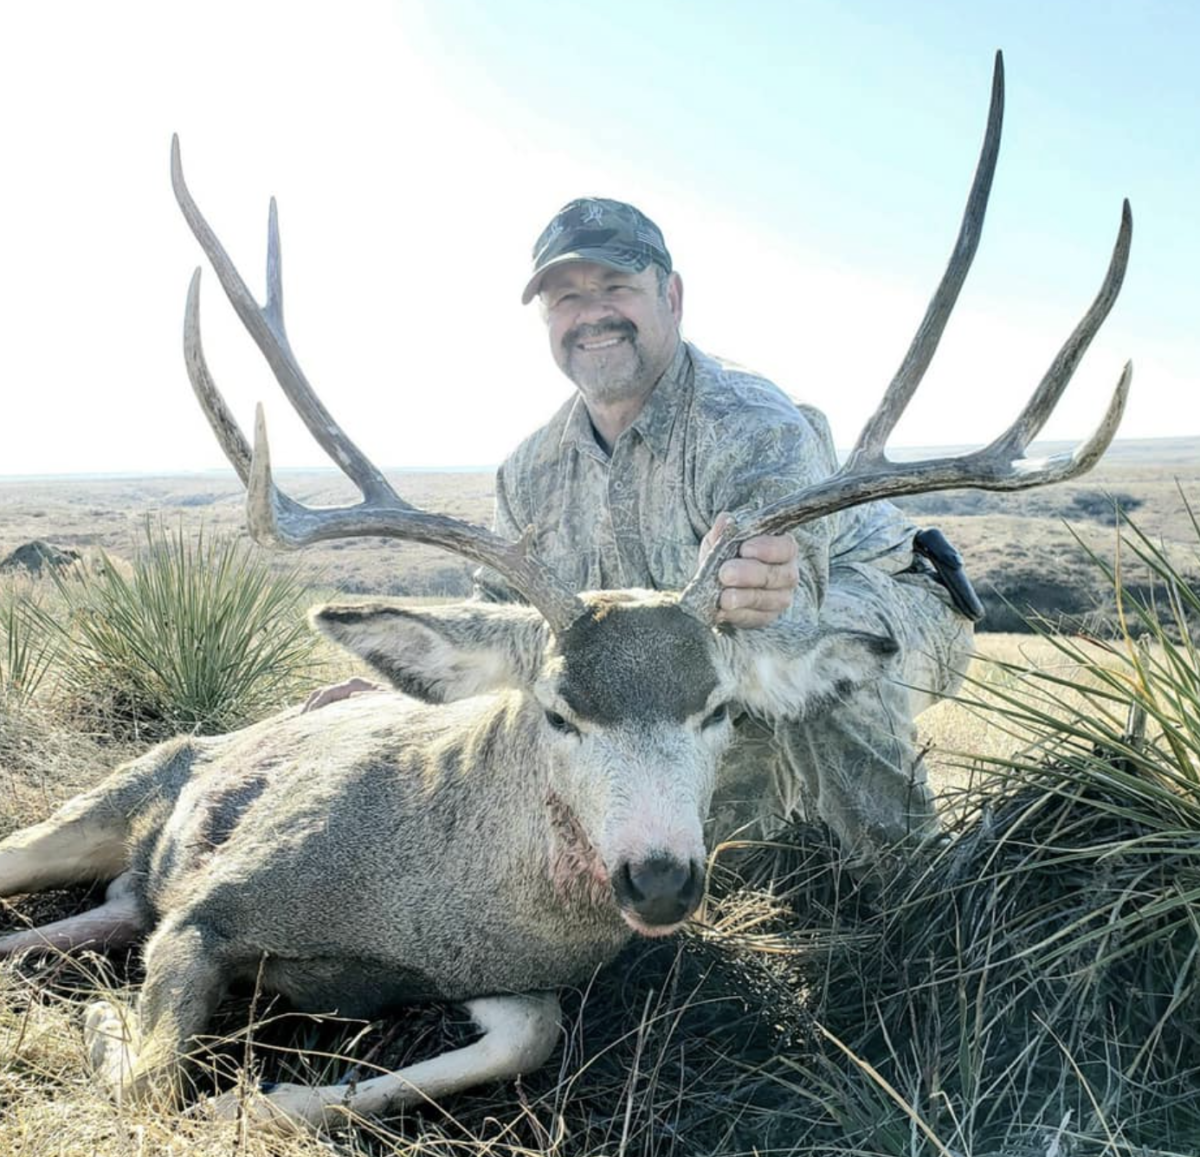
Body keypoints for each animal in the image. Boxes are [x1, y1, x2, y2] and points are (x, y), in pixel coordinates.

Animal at [0, 54, 1128, 1128]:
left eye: (720, 710)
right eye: (557, 710)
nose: (661, 876)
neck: (440, 892)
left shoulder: (504, 976)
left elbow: (526, 1037)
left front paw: (264, 1097)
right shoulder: (208, 905)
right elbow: (153, 1076)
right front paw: (107, 1026)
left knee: (98, 910)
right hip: (113, 796)